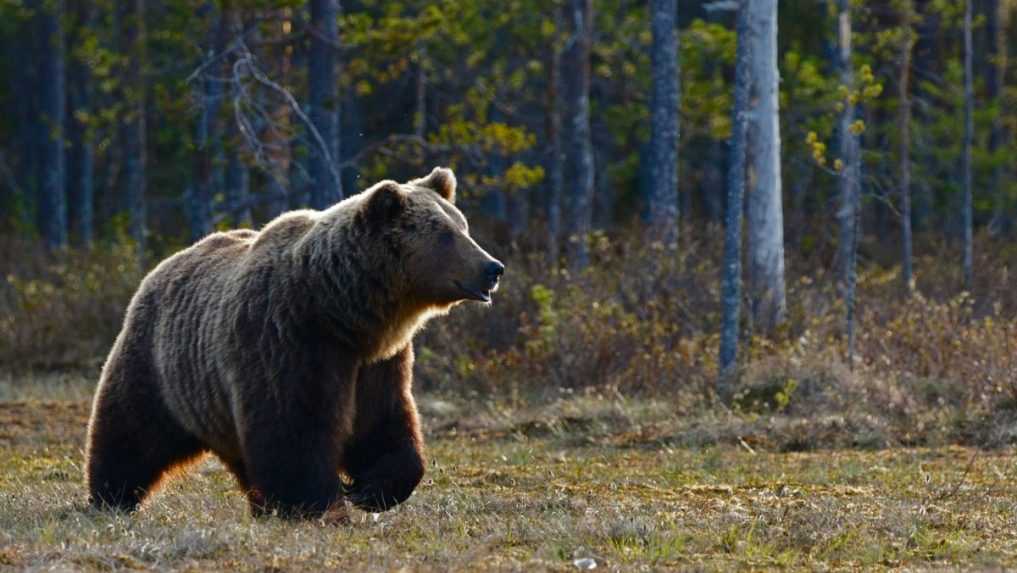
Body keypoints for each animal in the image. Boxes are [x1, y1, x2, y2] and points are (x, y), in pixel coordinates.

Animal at [84, 166, 504, 521]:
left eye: (463, 226)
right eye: (445, 234)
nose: (493, 267)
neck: (343, 312)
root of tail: (163, 265)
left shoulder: (377, 362)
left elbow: (383, 422)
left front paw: (371, 489)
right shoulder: (288, 339)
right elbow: (294, 427)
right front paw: (317, 504)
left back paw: (259, 505)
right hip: (160, 365)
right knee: (131, 430)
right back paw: (111, 497)